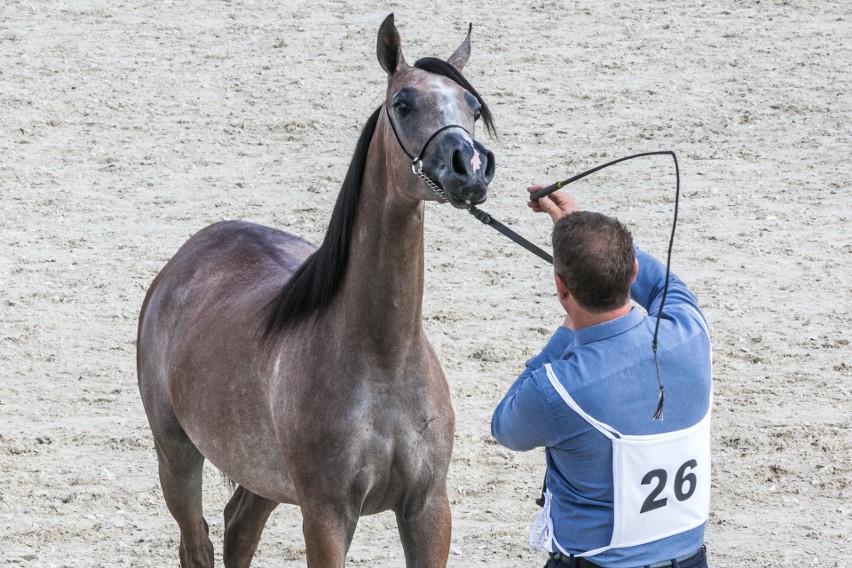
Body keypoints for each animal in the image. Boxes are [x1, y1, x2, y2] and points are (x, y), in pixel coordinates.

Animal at [136, 13, 496, 568]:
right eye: (403, 103)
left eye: (473, 107)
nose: (470, 167)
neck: (385, 360)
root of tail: (183, 261)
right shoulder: (327, 516)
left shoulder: (428, 509)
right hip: (176, 454)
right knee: (197, 542)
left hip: (262, 477)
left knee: (239, 527)